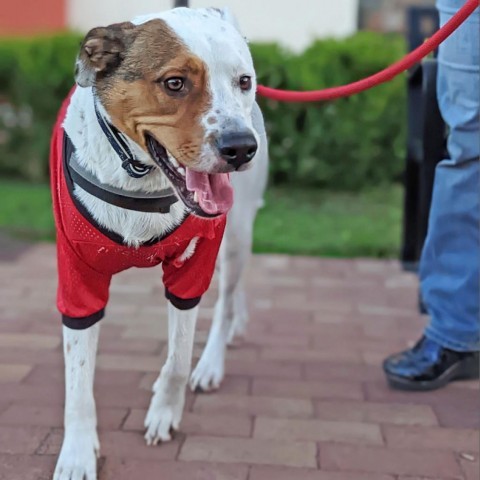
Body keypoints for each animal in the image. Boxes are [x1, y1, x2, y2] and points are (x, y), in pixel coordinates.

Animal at [52, 7, 270, 480]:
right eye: (174, 83)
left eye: (244, 81)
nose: (243, 148)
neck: (139, 177)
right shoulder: (77, 275)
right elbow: (77, 380)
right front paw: (76, 454)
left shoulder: (193, 268)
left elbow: (178, 357)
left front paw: (164, 412)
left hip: (236, 232)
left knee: (227, 298)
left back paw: (214, 358)